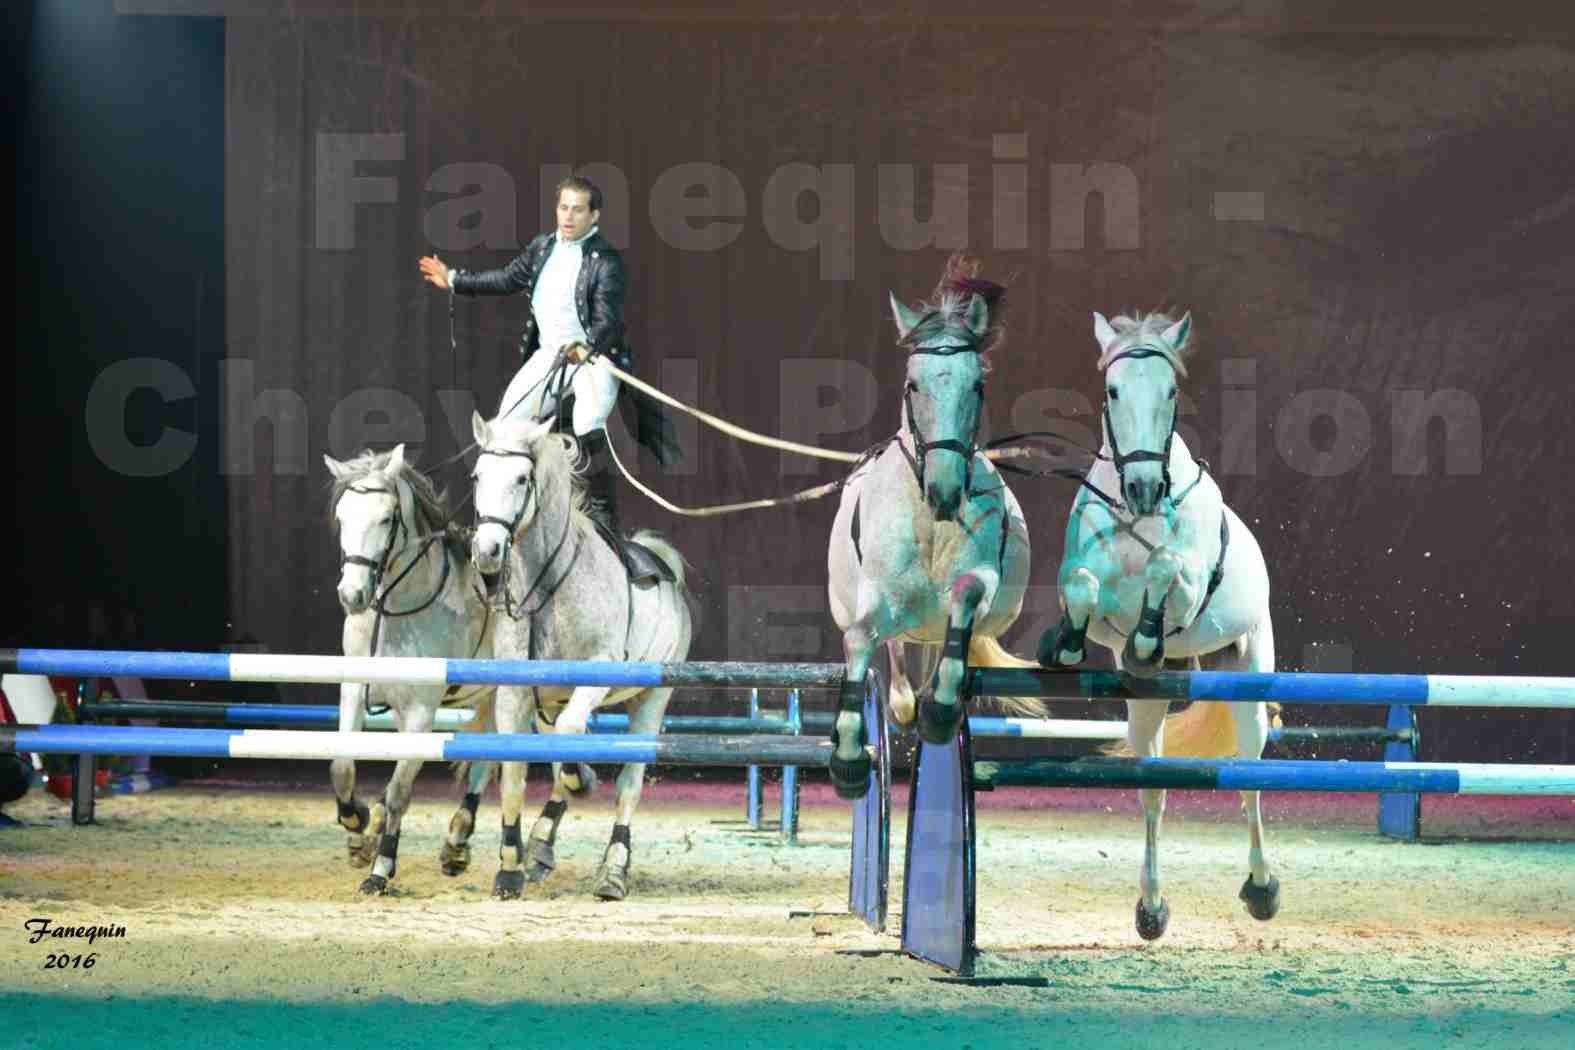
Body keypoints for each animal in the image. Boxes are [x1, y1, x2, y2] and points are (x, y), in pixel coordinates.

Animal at [329, 443, 500, 894]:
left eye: (386, 518)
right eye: (342, 517)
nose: (352, 595)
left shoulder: (422, 710)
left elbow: (400, 790)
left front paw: (381, 869)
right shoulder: (355, 691)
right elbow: (342, 766)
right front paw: (358, 826)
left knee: (487, 761)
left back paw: (457, 841)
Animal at [466, 415, 689, 900]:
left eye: (522, 478)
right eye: (477, 477)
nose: (487, 552)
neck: (550, 587)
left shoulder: (598, 673)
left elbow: (571, 735)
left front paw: (579, 777)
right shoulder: (517, 695)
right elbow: (515, 774)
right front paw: (510, 868)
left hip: (651, 701)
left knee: (628, 784)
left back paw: (614, 870)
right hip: (549, 701)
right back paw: (541, 844)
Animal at [825, 258, 1045, 799]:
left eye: (977, 386)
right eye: (914, 385)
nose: (945, 491)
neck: (930, 521)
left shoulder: (978, 582)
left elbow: (964, 597)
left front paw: (942, 712)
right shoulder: (878, 599)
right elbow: (859, 639)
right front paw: (848, 760)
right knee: (898, 664)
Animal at [1039, 311, 1285, 944]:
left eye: (1171, 391)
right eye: (1112, 390)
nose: (1146, 488)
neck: (1140, 517)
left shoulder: (1190, 586)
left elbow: (1165, 566)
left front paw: (1148, 635)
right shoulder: (1090, 594)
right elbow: (1084, 587)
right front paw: (1065, 644)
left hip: (1250, 679)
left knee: (1250, 780)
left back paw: (1262, 889)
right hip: (1145, 709)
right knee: (1154, 794)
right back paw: (1151, 908)